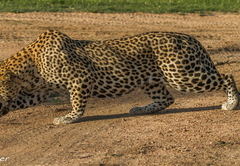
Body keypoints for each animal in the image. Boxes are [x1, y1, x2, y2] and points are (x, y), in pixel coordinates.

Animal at [0, 30, 238, 125]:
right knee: (167, 99)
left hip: (181, 74)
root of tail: (190, 37)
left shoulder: (79, 78)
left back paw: (231, 103)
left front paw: (69, 118)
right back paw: (140, 109)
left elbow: (77, 103)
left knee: (227, 76)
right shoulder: (40, 93)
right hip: (151, 80)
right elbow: (18, 101)